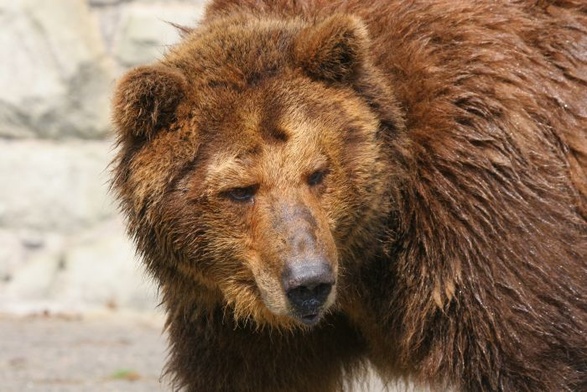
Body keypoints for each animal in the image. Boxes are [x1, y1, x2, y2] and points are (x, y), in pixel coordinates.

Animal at [111, 0, 587, 392]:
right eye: (241, 190)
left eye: (317, 173)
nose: (308, 283)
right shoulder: (238, 321)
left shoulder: (477, 197)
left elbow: (534, 351)